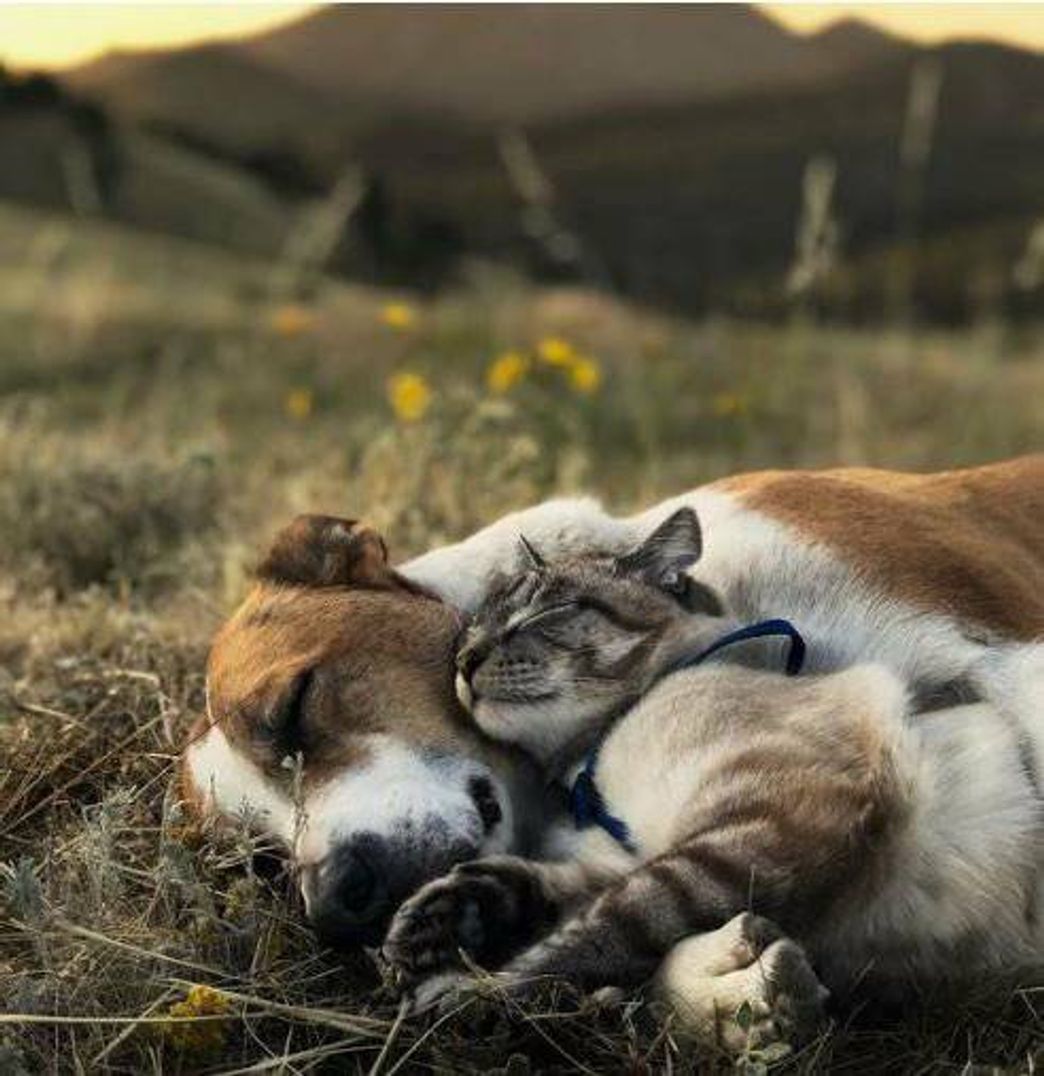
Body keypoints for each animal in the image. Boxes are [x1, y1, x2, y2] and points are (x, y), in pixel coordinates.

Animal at [385, 505, 1041, 1050]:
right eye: (473, 629)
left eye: (548, 613)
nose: (465, 661)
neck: (587, 767)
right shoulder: (634, 854)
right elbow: (540, 887)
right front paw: (433, 922)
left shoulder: (757, 829)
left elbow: (594, 931)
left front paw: (462, 995)